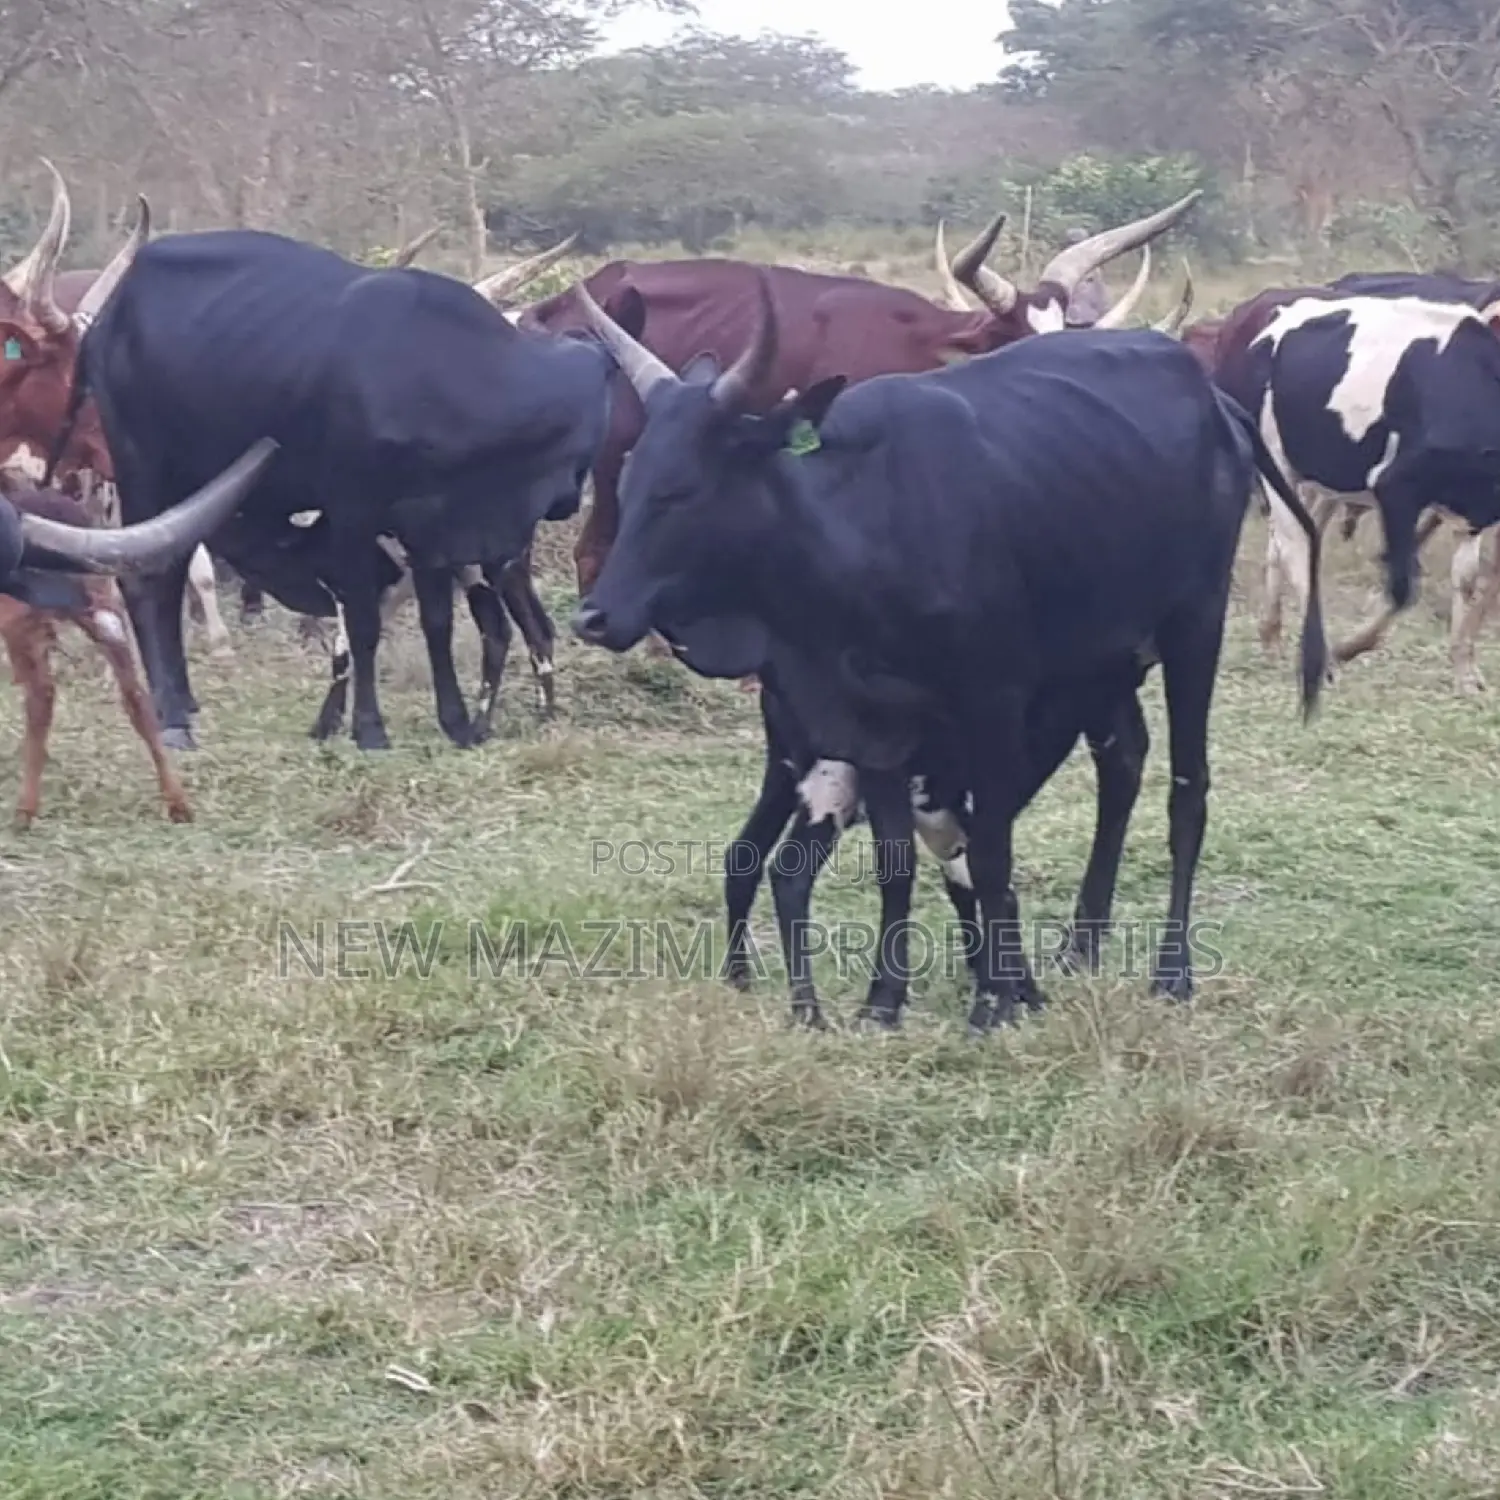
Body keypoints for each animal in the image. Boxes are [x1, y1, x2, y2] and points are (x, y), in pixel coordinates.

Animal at [48, 227, 633, 751]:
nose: (566, 501)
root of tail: (108, 315)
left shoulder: (430, 533)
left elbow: (438, 624)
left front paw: (457, 723)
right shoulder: (355, 514)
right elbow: (364, 622)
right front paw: (369, 729)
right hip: (144, 470)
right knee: (149, 580)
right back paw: (171, 716)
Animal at [568, 277, 1326, 1032]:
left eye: (682, 490)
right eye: (628, 480)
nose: (593, 616)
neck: (860, 530)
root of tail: (1212, 396)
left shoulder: (993, 705)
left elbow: (988, 851)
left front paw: (996, 1002)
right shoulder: (875, 729)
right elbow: (896, 861)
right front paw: (885, 1001)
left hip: (1194, 626)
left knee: (1187, 792)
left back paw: (1172, 972)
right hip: (1100, 661)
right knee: (1122, 766)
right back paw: (1078, 948)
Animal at [1193, 273, 1500, 692]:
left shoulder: (1473, 509)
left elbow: (1466, 580)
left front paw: (1465, 672)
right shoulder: (1395, 486)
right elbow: (1403, 583)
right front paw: (1347, 649)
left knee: (1296, 538)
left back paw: (1273, 637)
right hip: (1275, 461)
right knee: (1293, 545)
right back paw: (1318, 657)